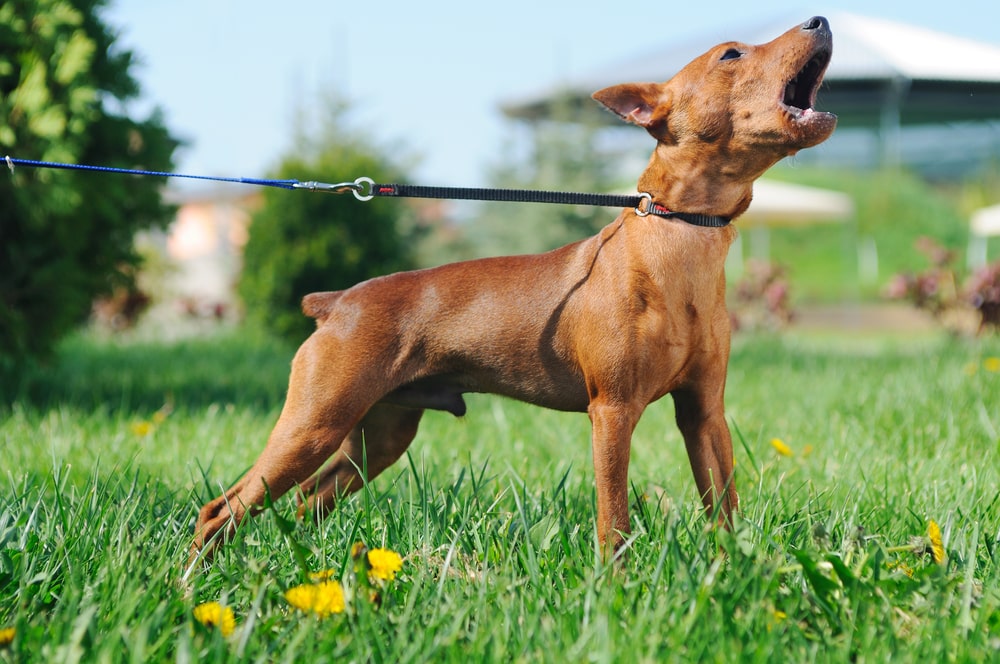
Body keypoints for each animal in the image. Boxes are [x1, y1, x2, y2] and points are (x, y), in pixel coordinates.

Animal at [191, 16, 832, 560]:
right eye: (731, 54)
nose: (820, 20)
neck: (683, 233)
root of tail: (336, 302)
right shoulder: (613, 411)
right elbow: (614, 520)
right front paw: (615, 587)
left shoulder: (703, 413)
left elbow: (724, 509)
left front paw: (737, 573)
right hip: (315, 423)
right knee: (223, 508)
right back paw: (193, 580)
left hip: (376, 438)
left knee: (304, 504)